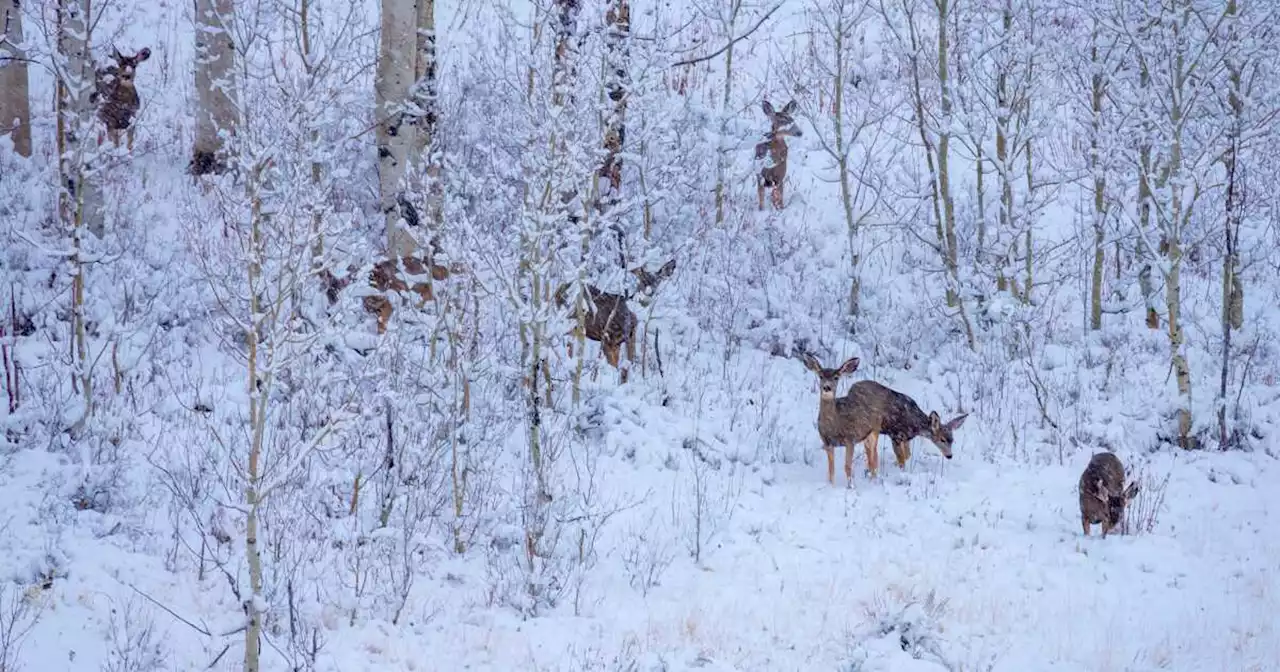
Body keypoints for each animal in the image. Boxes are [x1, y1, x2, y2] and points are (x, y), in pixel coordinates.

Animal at [798, 350, 967, 486]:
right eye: (942, 439)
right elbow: (834, 469)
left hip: (873, 432)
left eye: (952, 440)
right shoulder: (895, 435)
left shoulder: (895, 437)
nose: (950, 456)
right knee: (872, 456)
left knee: (873, 456)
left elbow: (905, 457)